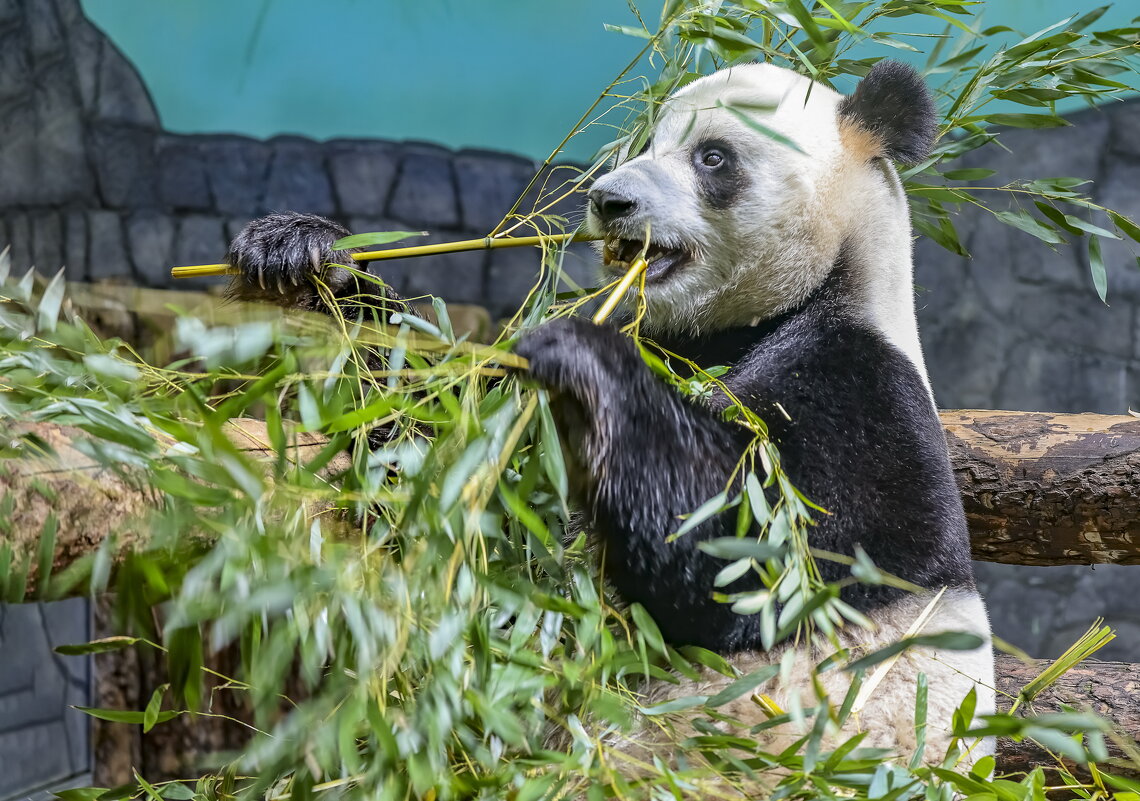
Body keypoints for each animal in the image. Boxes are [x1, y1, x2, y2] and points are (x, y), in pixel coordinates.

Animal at [226, 58, 994, 774]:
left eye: (712, 157)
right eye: (649, 142)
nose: (610, 199)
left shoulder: (861, 393)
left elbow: (740, 553)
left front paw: (578, 352)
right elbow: (434, 452)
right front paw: (300, 258)